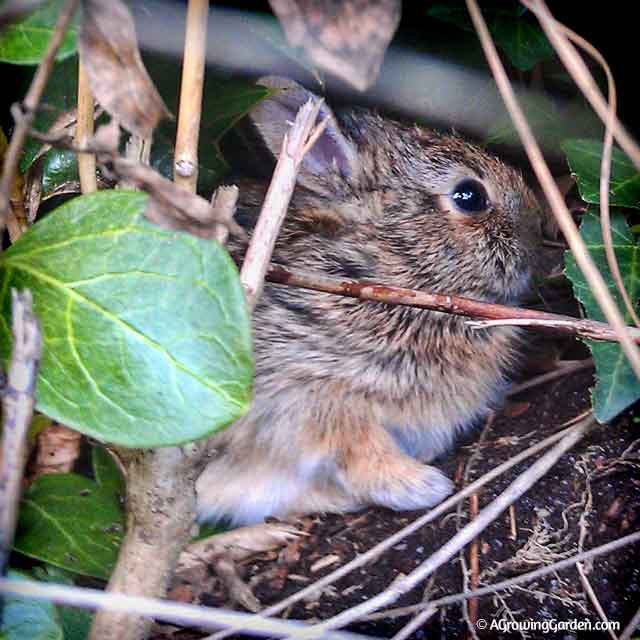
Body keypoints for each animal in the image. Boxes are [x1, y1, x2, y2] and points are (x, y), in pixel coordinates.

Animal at [196, 76, 544, 524]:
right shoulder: (311, 396)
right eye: (469, 196)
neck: (386, 265)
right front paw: (422, 486)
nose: (539, 230)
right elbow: (359, 452)